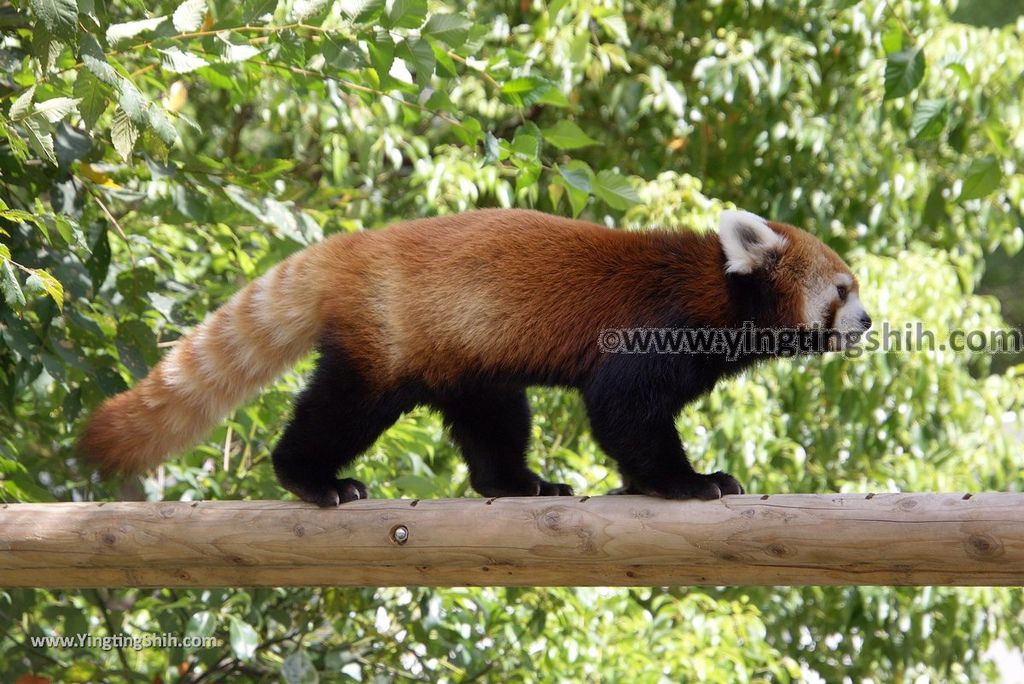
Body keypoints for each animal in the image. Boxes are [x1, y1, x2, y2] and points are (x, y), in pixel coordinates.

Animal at [75, 210, 868, 505]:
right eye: (843, 289)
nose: (867, 321)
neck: (718, 294)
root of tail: (352, 246)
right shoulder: (656, 328)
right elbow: (622, 410)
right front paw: (687, 482)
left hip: (464, 356)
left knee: (495, 422)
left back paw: (516, 484)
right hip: (387, 345)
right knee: (342, 409)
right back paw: (314, 479)